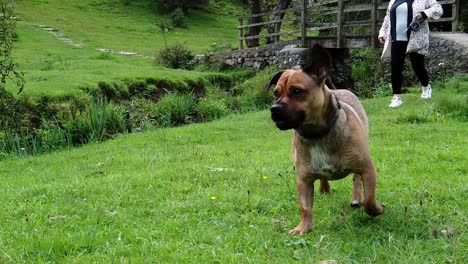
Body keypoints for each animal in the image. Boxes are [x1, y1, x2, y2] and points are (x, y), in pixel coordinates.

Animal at [266, 43, 384, 235]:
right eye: (276, 93)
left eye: (297, 91)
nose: (274, 108)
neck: (317, 135)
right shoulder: (304, 180)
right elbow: (305, 207)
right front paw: (303, 227)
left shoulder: (367, 169)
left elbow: (369, 199)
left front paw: (376, 209)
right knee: (323, 177)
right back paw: (324, 188)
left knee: (356, 180)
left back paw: (356, 197)